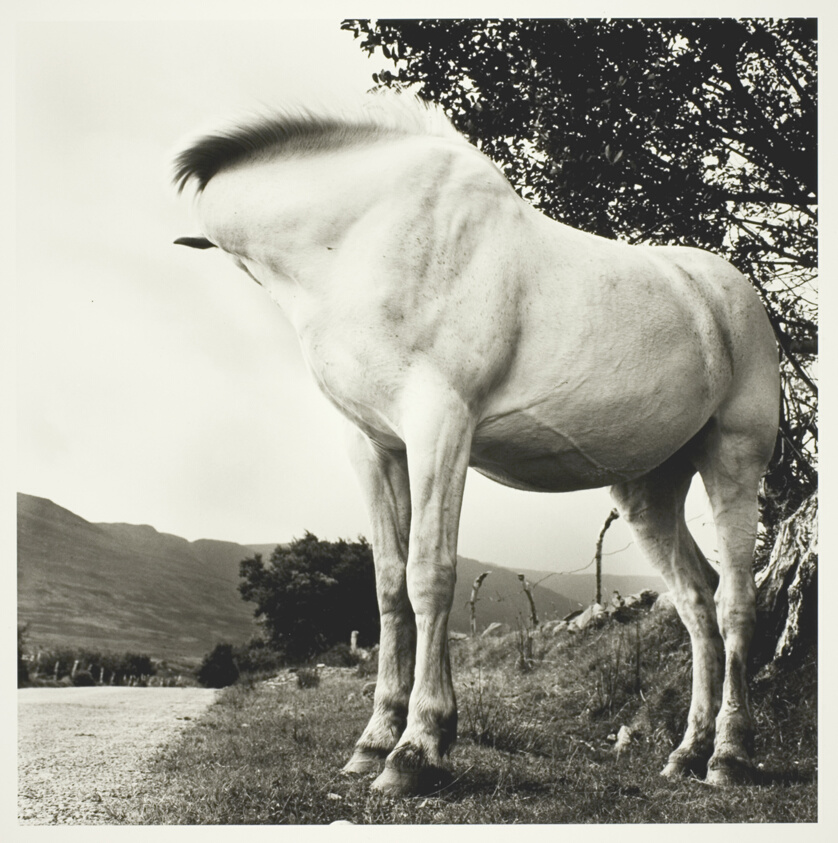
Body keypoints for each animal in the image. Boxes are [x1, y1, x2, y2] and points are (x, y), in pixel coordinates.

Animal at [173, 94, 779, 795]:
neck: (362, 232)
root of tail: (726, 293)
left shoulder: (439, 426)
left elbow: (429, 576)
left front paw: (418, 747)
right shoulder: (374, 446)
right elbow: (388, 586)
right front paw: (372, 742)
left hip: (733, 459)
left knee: (735, 601)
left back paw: (729, 754)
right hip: (648, 489)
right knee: (696, 601)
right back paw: (687, 752)